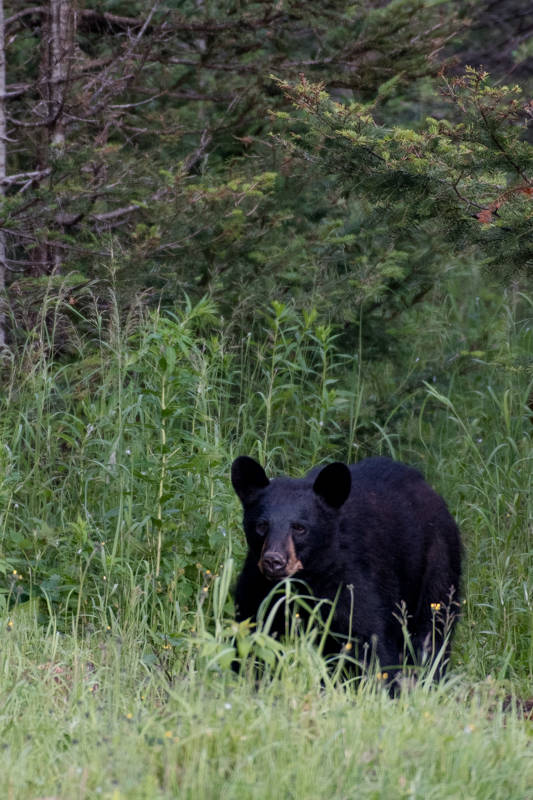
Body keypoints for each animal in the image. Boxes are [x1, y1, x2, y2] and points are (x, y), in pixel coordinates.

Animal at [233, 456, 462, 680]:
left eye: (299, 528)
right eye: (261, 525)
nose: (274, 561)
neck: (307, 577)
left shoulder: (351, 579)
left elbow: (368, 639)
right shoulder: (258, 585)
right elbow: (251, 632)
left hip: (436, 559)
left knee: (433, 626)